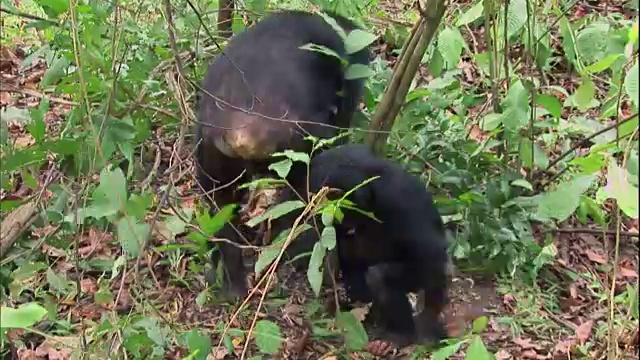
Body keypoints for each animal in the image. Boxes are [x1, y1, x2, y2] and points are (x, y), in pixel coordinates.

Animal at [284, 143, 450, 348]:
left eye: (341, 203)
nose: (333, 213)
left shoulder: (399, 201)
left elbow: (429, 252)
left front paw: (429, 320)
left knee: (383, 276)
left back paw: (399, 335)